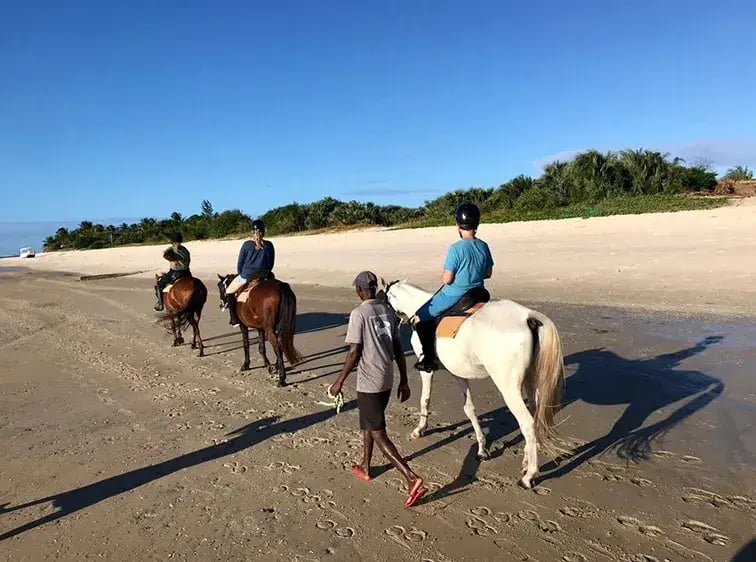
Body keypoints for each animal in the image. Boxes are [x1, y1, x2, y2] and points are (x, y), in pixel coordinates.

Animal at [380, 278, 564, 488]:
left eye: (384, 298)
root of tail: (528, 316)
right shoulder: (458, 374)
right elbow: (469, 409)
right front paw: (482, 448)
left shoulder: (427, 370)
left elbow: (424, 399)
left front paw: (420, 429)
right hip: (531, 382)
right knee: (534, 415)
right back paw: (526, 462)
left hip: (509, 389)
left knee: (527, 424)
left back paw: (529, 476)